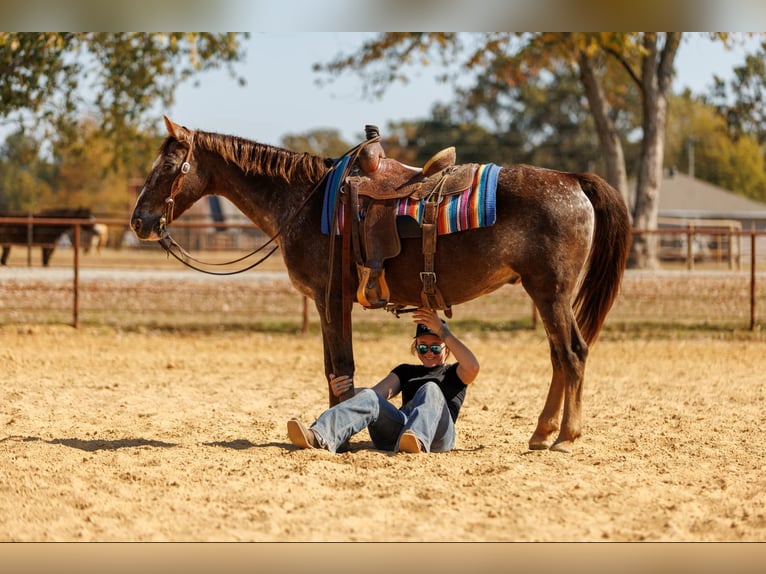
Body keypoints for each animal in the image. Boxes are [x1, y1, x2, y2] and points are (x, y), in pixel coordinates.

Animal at [130, 117, 630, 452]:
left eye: (169, 166)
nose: (139, 221)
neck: (306, 201)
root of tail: (572, 180)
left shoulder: (330, 299)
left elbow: (341, 368)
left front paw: (338, 439)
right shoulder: (329, 303)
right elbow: (336, 371)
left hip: (551, 292)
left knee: (572, 353)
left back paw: (564, 438)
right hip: (545, 294)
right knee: (559, 357)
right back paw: (542, 433)